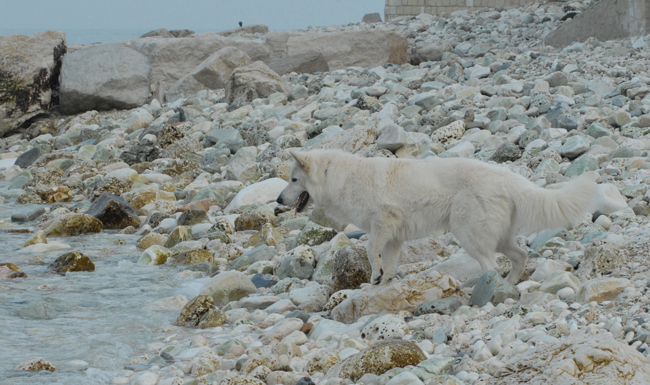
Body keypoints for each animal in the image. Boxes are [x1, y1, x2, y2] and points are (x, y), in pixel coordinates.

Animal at [274, 148, 596, 284]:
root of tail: (509, 178)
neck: (339, 177)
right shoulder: (394, 238)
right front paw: (383, 283)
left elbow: (370, 250)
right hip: (497, 236)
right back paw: (509, 284)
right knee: (520, 255)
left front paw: (375, 274)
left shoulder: (382, 222)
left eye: (293, 179)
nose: (277, 201)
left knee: (491, 264)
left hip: (469, 233)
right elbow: (389, 263)